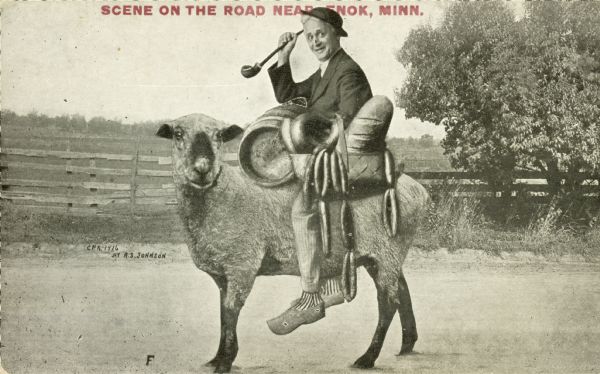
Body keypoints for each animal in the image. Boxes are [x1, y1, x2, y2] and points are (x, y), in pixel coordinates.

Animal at [157, 112, 432, 372]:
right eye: (178, 134)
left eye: (219, 136)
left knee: (388, 302)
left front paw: (225, 362)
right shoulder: (223, 274)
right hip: (384, 255)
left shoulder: (242, 264)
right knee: (402, 291)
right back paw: (407, 345)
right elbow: (223, 314)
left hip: (387, 251)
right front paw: (216, 358)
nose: (202, 169)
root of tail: (418, 188)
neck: (222, 196)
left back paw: (368, 358)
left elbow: (231, 311)